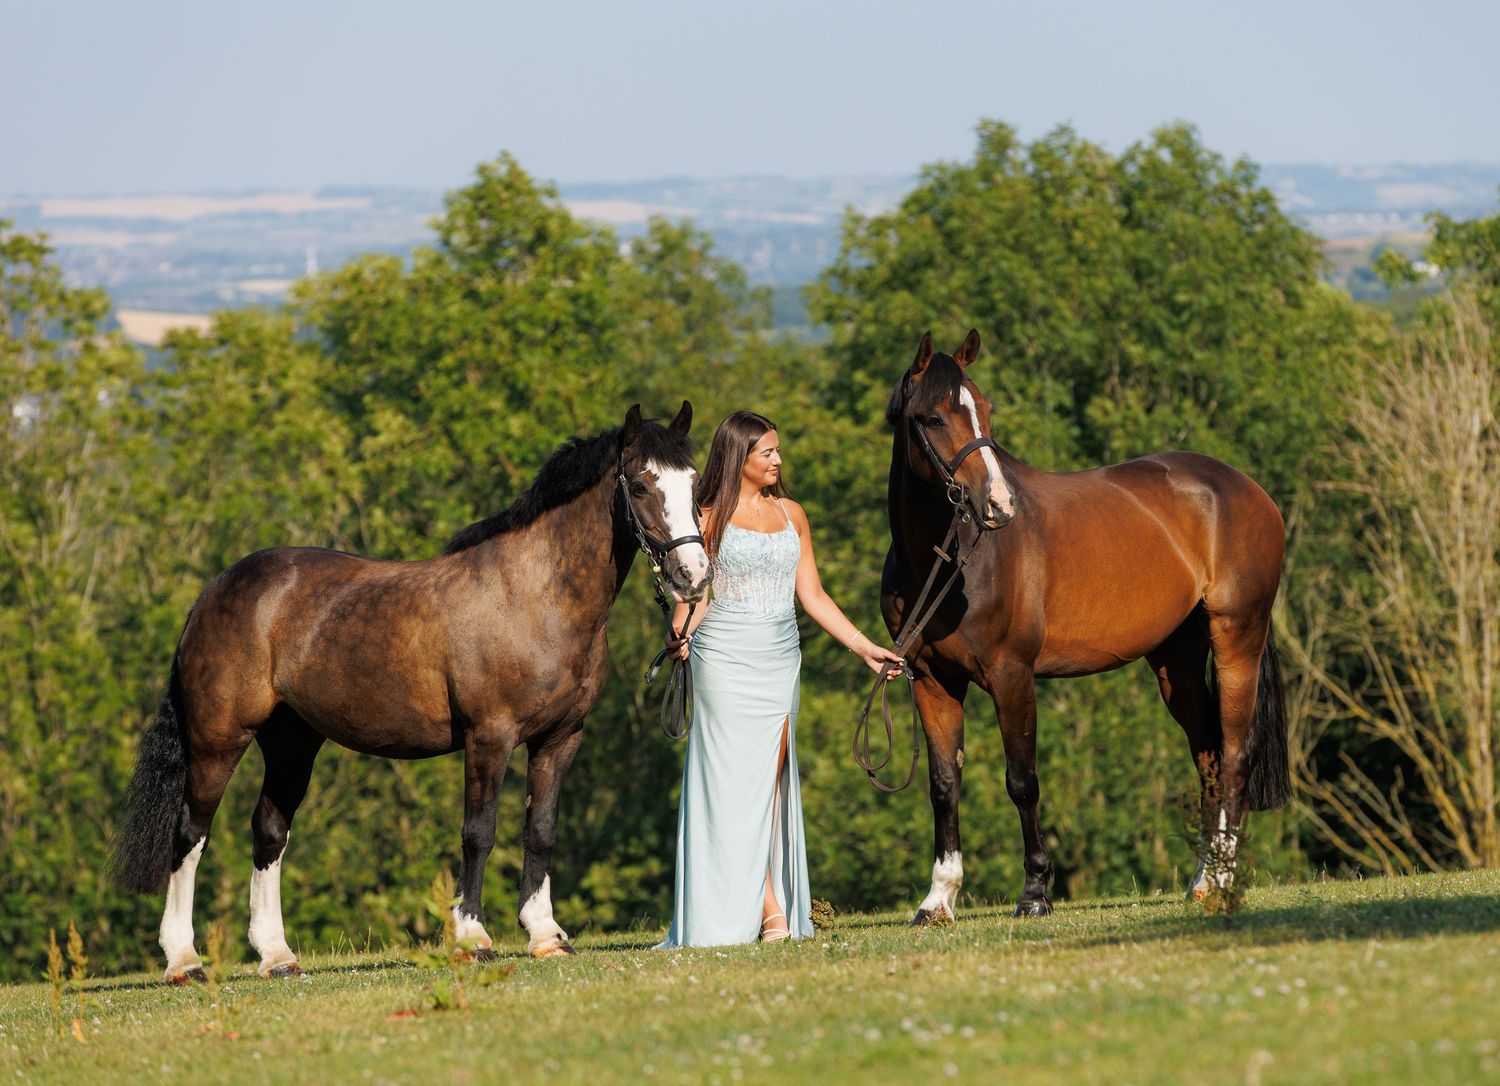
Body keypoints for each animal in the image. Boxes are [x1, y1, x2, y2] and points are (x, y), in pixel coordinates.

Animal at [113, 403, 711, 982]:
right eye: (641, 486)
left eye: (694, 483)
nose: (694, 575)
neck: (533, 595)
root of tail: (215, 592)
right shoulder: (489, 736)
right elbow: (479, 832)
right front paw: (473, 938)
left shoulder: (560, 738)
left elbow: (540, 830)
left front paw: (545, 936)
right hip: (218, 739)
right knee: (190, 834)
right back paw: (183, 961)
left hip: (291, 742)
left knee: (268, 831)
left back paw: (277, 957)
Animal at [880, 331, 1288, 922]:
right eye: (932, 418)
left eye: (986, 409)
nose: (998, 504)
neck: (949, 563)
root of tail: (1250, 491)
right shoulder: (932, 682)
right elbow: (943, 785)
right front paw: (938, 899)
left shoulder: (1011, 675)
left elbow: (1022, 781)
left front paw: (1034, 892)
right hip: (1178, 662)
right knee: (1208, 754)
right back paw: (1203, 879)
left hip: (1238, 640)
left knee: (1234, 757)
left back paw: (1223, 878)